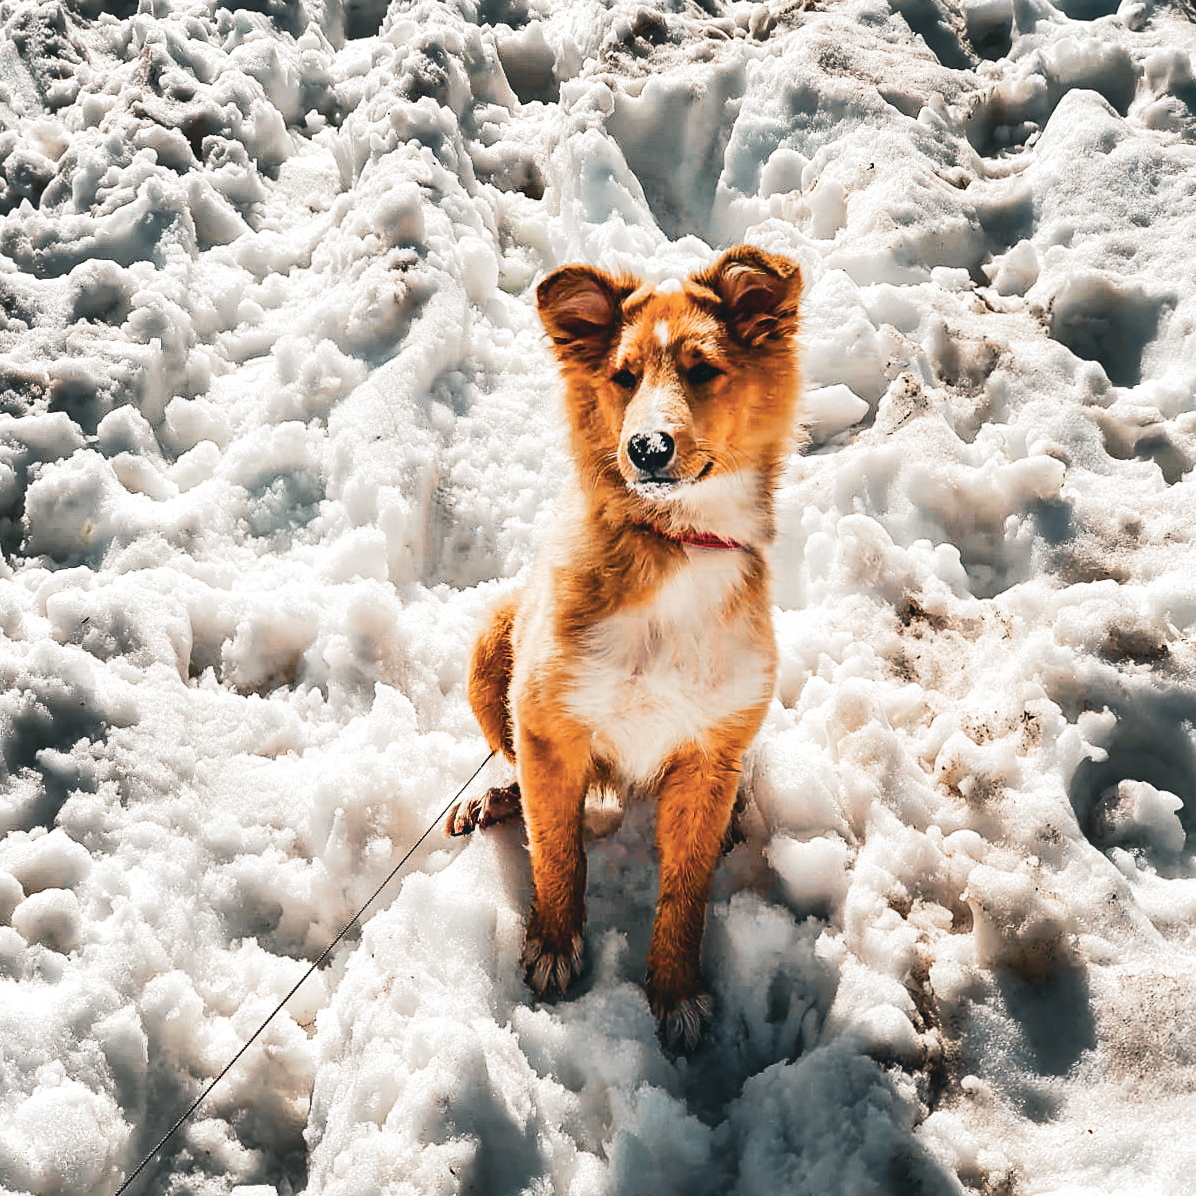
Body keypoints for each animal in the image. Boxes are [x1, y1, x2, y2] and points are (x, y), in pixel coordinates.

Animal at [447, 247, 803, 1052]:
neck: (674, 544)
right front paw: (553, 945)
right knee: (518, 773)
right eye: (623, 376)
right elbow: (558, 850)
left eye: (702, 370)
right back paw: (493, 797)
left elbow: (686, 888)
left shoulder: (710, 748)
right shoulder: (550, 724)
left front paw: (674, 991)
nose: (646, 448)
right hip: (492, 643)